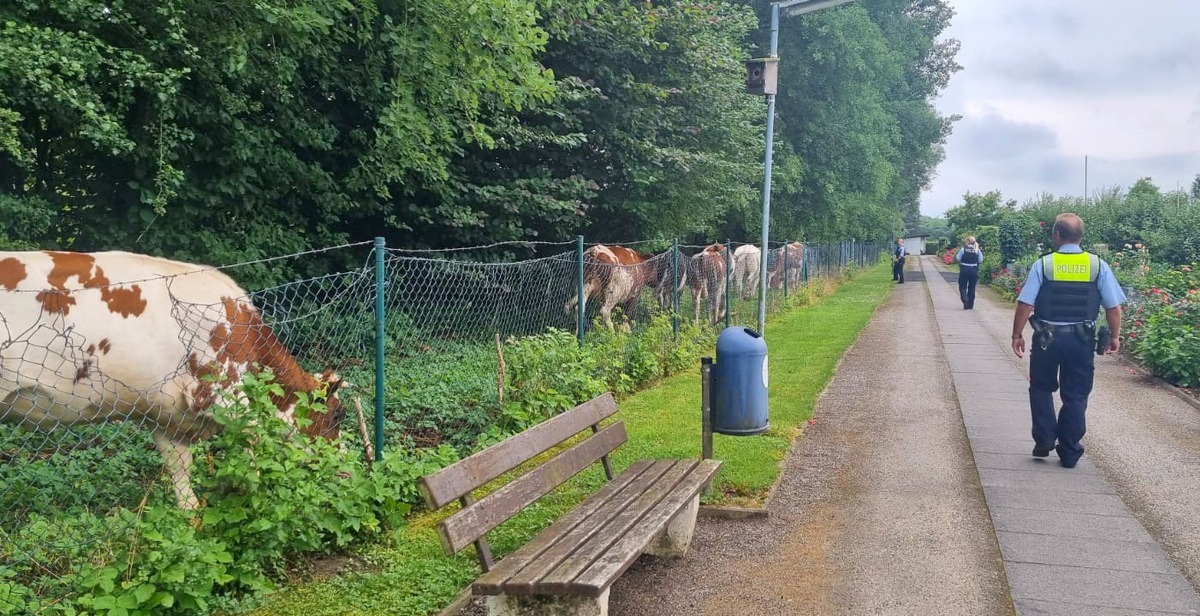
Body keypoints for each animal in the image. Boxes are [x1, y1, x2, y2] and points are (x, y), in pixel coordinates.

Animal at [0, 249, 348, 509]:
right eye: (336, 416)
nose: (346, 466)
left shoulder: (166, 413)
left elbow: (180, 473)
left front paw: (193, 521)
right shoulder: (221, 391)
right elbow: (256, 449)